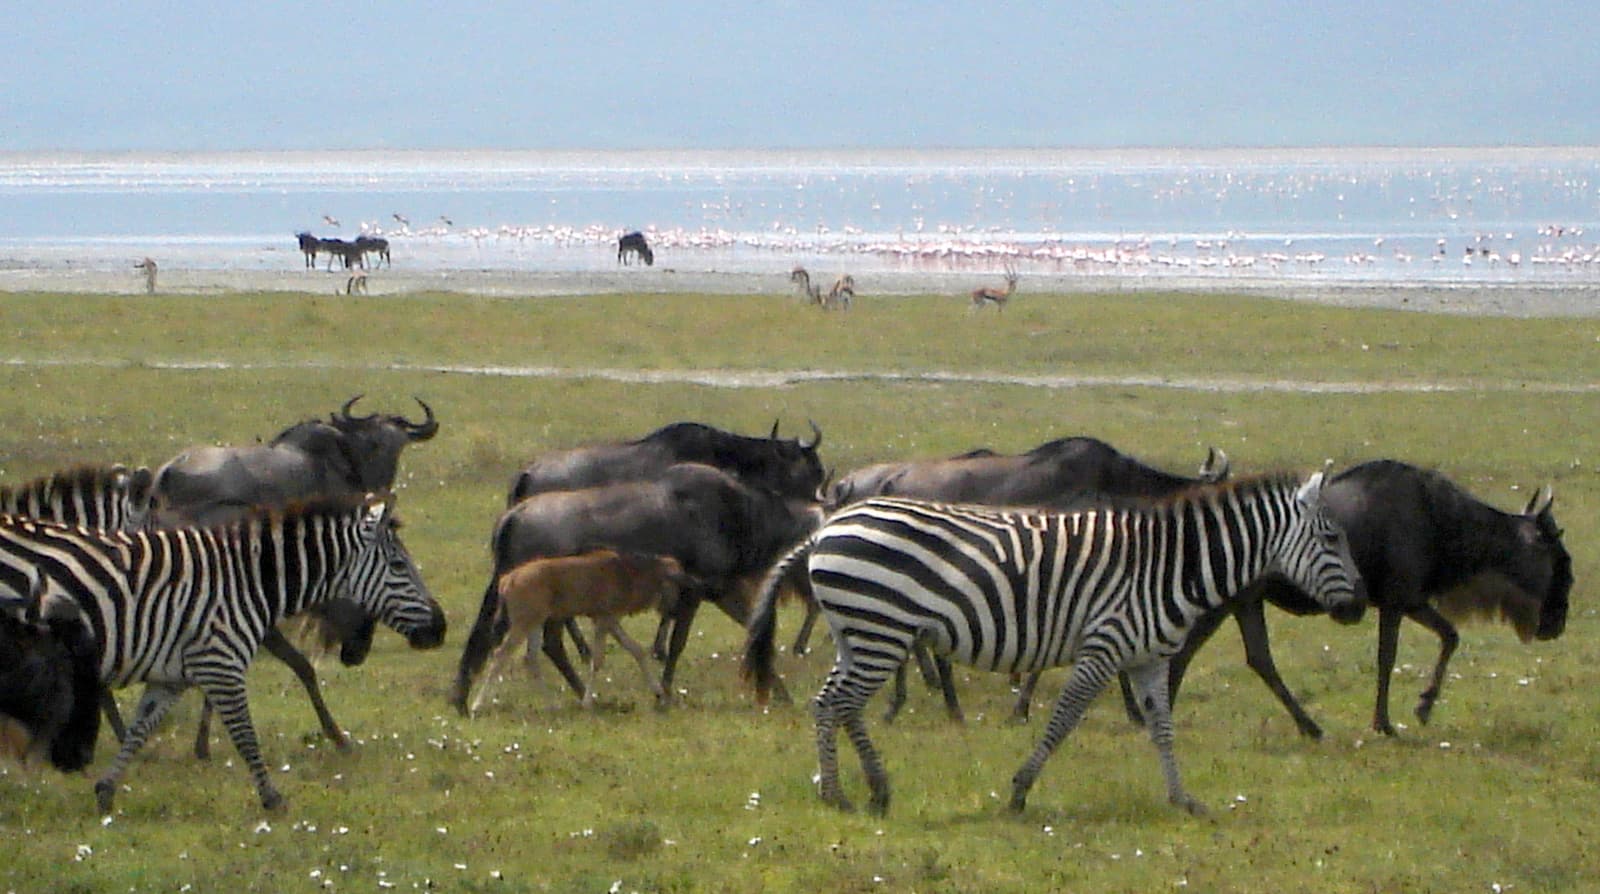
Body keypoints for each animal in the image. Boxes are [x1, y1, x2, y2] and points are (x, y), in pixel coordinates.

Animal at [0, 493, 446, 813]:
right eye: (399, 566)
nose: (440, 629)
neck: (249, 581)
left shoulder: (171, 677)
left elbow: (141, 729)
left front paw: (106, 790)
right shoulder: (221, 663)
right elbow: (246, 736)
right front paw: (273, 800)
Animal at [742, 469, 1365, 816]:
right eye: (1332, 536)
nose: (1359, 607)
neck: (1172, 567)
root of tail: (827, 527)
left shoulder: (1148, 658)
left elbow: (1163, 728)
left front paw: (1184, 800)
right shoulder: (1104, 647)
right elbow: (1063, 719)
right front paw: (1020, 791)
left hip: (860, 631)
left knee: (834, 703)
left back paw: (860, 791)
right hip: (879, 630)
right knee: (840, 704)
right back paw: (850, 794)